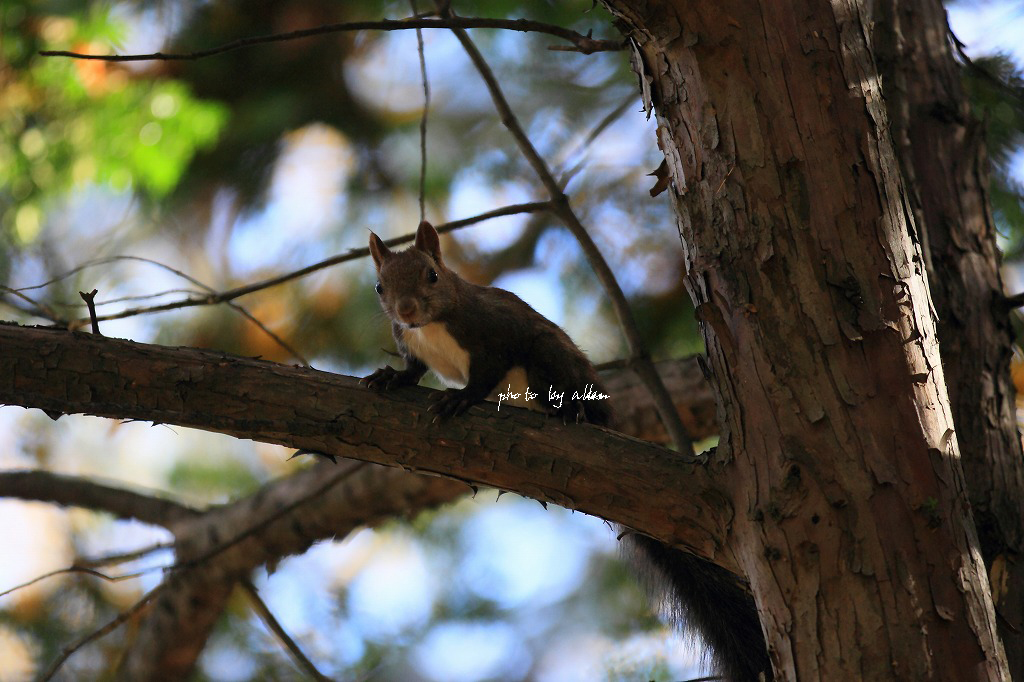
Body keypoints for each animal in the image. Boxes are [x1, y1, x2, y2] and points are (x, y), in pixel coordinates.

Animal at [360, 220, 770, 675]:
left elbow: (485, 375)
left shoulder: (494, 335)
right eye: (379, 286)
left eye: (432, 274)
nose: (406, 310)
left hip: (549, 356)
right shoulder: (411, 344)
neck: (432, 327)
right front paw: (392, 377)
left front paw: (461, 397)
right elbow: (414, 370)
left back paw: (572, 412)